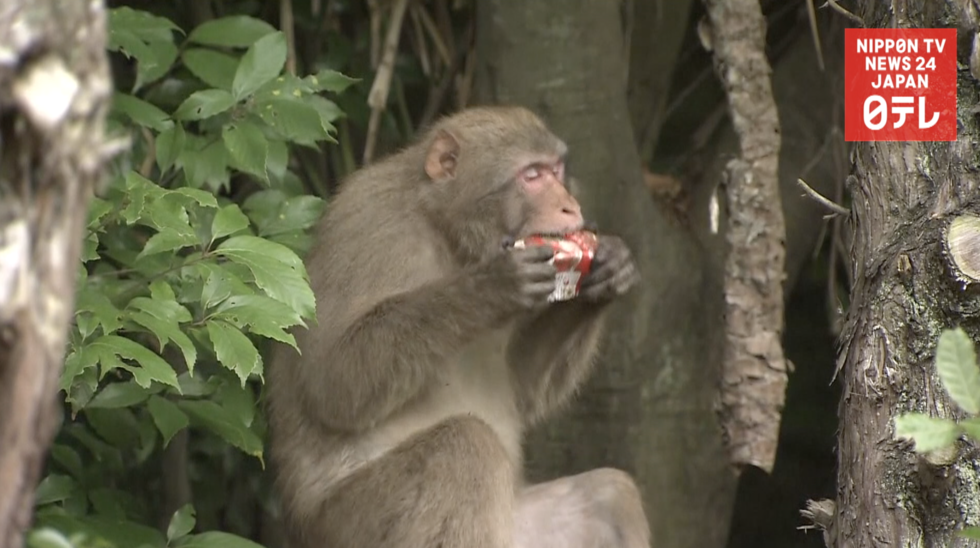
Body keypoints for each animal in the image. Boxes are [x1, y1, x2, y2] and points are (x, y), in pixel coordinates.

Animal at [266, 106, 649, 548]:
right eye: (532, 175)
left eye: (555, 170)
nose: (571, 206)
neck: (447, 233)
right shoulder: (366, 228)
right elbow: (332, 381)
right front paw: (490, 287)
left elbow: (522, 389)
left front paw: (607, 273)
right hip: (349, 528)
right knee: (464, 448)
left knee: (611, 493)